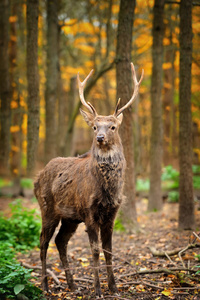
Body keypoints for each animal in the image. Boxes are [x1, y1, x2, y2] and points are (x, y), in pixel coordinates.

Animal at [34, 62, 144, 296]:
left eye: (112, 126)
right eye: (94, 126)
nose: (100, 137)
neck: (107, 190)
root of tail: (36, 179)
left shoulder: (112, 213)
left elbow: (109, 251)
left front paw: (114, 288)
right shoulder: (89, 212)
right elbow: (94, 251)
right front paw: (98, 290)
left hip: (69, 217)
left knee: (60, 241)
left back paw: (72, 285)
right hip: (47, 208)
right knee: (43, 242)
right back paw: (45, 286)